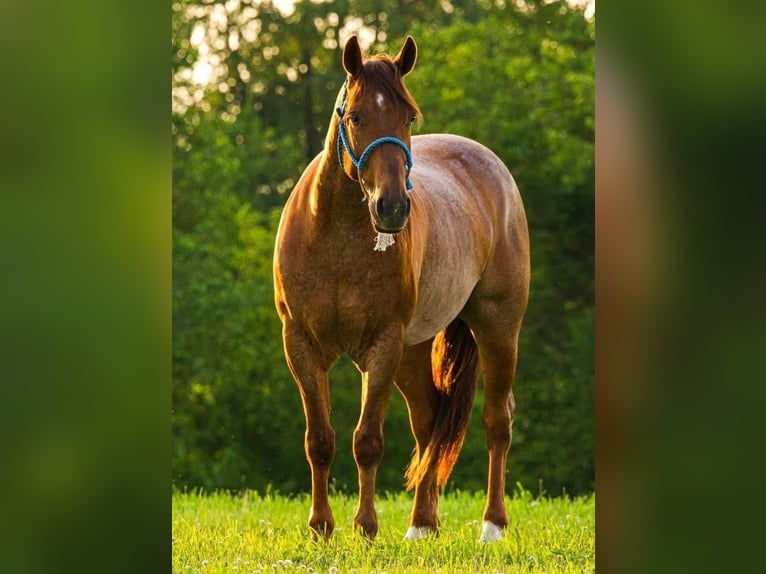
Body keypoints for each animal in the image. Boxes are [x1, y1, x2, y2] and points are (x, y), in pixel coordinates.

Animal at [273, 35, 529, 542]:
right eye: (355, 116)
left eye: (408, 117)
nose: (391, 207)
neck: (335, 239)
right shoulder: (302, 345)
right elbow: (320, 440)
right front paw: (321, 528)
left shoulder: (382, 345)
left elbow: (367, 441)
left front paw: (366, 528)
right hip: (414, 350)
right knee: (430, 422)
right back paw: (421, 525)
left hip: (497, 328)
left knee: (497, 421)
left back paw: (492, 525)